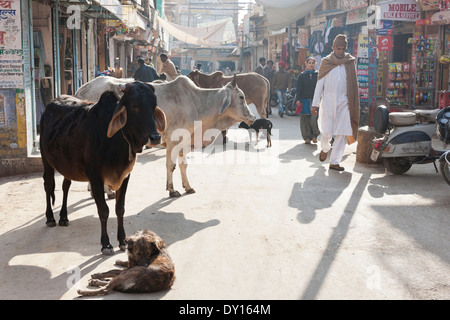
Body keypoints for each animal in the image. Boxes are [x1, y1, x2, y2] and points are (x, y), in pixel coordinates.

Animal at [39, 82, 166, 255]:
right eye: (135, 106)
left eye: (154, 105)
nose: (155, 137)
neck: (116, 141)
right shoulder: (95, 177)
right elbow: (104, 210)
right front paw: (106, 244)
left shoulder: (125, 176)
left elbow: (120, 208)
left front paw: (122, 241)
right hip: (46, 161)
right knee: (48, 185)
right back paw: (51, 218)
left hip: (66, 165)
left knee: (66, 186)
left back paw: (64, 217)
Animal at [75, 77, 255, 198]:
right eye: (241, 97)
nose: (252, 117)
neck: (197, 103)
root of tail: (83, 87)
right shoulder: (173, 141)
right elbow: (171, 165)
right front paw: (172, 189)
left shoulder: (184, 141)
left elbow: (183, 165)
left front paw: (187, 187)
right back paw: (107, 191)